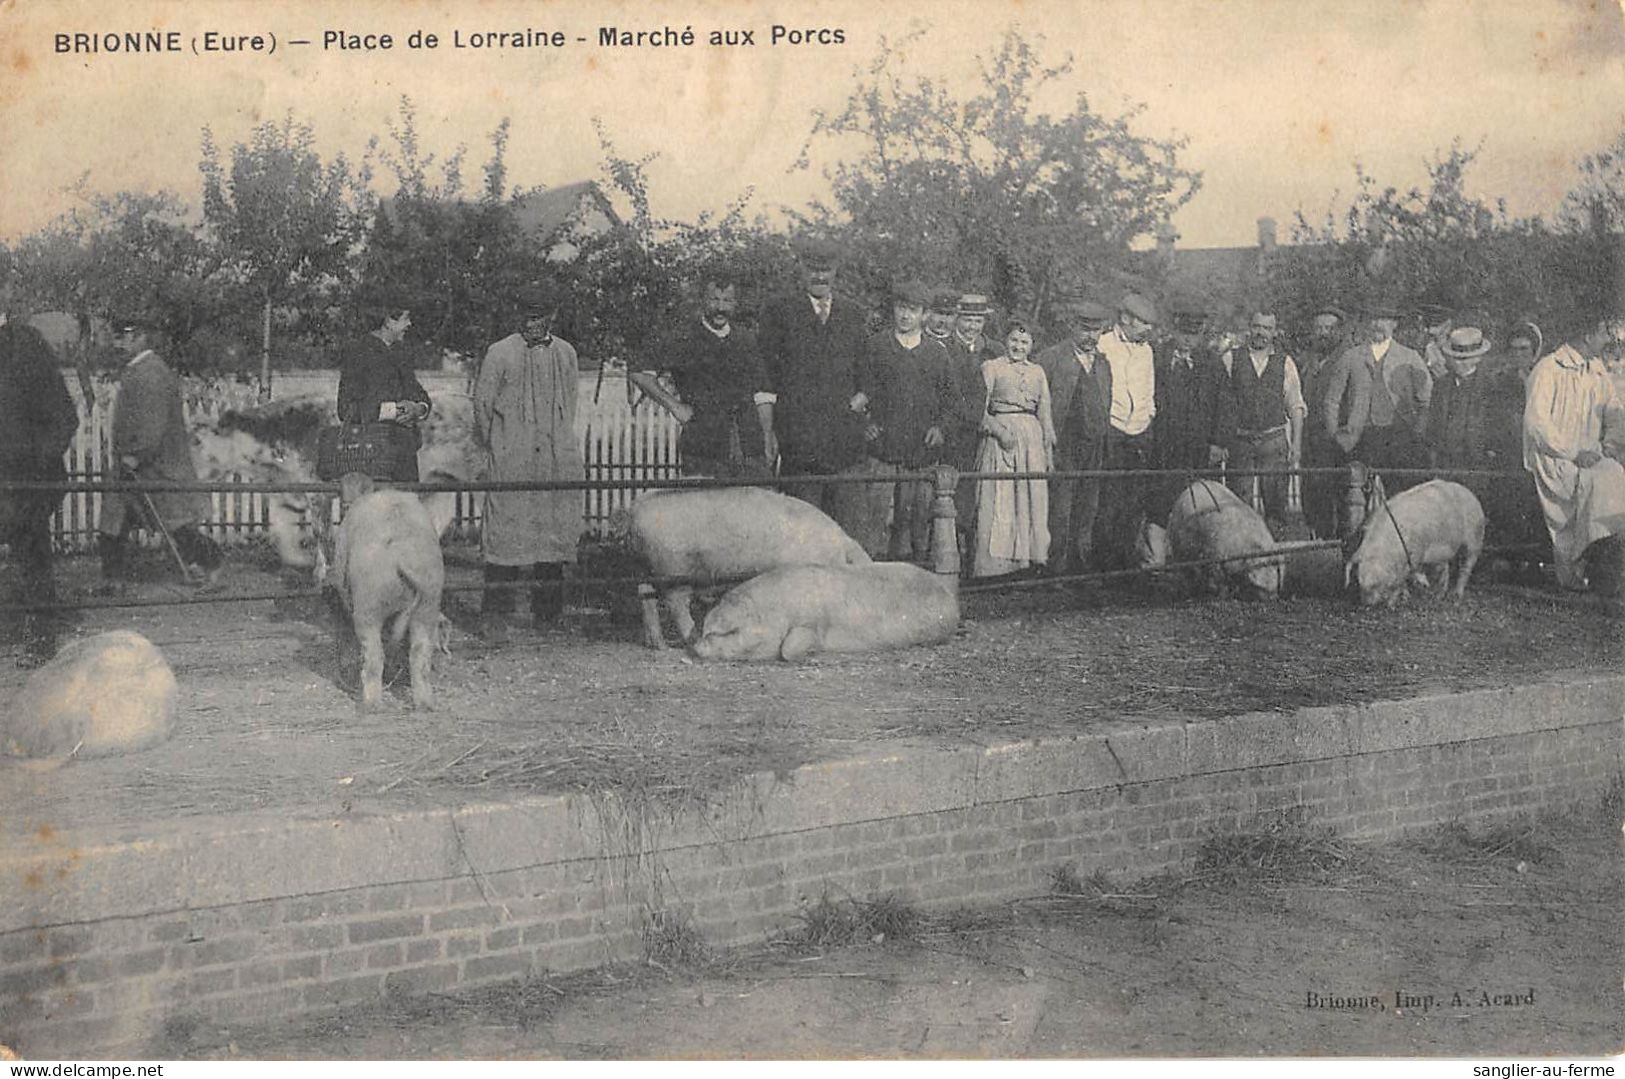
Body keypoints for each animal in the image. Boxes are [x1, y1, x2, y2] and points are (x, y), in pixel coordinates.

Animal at [328, 471, 448, 708]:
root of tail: (402, 556)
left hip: (369, 603)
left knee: (375, 656)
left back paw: (371, 704)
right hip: (429, 602)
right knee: (420, 653)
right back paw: (425, 704)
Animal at [624, 487, 877, 650]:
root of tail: (635, 509)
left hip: (643, 567)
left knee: (646, 600)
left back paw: (659, 645)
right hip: (675, 571)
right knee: (675, 604)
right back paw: (689, 639)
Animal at [692, 559, 955, 663]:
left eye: (730, 631)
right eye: (703, 628)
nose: (694, 648)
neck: (776, 613)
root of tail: (951, 599)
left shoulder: (811, 624)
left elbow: (789, 649)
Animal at [1345, 477, 1488, 607]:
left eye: (1377, 583)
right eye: (1359, 579)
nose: (1366, 603)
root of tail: (1472, 496)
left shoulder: (1414, 554)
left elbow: (1402, 579)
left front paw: (1395, 602)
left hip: (1475, 539)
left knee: (1466, 567)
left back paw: (1456, 596)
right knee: (1444, 569)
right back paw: (1439, 596)